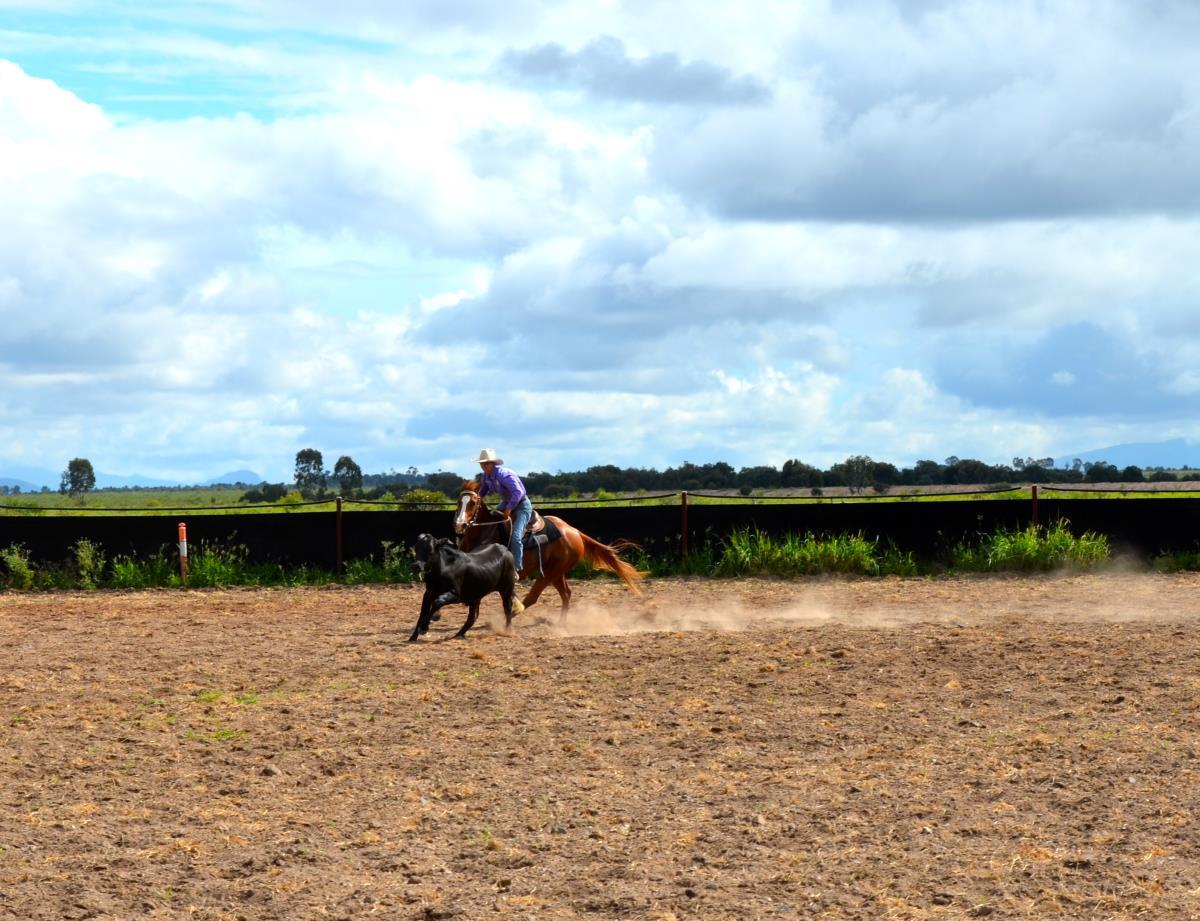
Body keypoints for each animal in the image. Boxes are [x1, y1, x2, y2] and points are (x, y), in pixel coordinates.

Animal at [454, 480, 643, 615]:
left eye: (472, 503)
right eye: (458, 502)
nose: (459, 525)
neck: (486, 530)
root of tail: (575, 532)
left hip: (549, 574)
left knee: (533, 597)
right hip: (556, 572)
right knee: (566, 594)